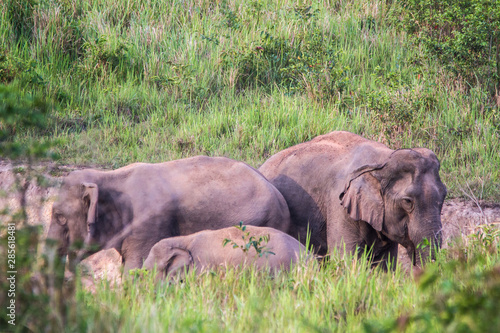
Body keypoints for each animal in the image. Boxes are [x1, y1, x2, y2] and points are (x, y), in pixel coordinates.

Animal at [260, 130, 448, 268]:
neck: (382, 161)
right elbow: (346, 256)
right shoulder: (339, 205)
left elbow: (385, 265)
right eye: (408, 201)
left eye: (444, 195)